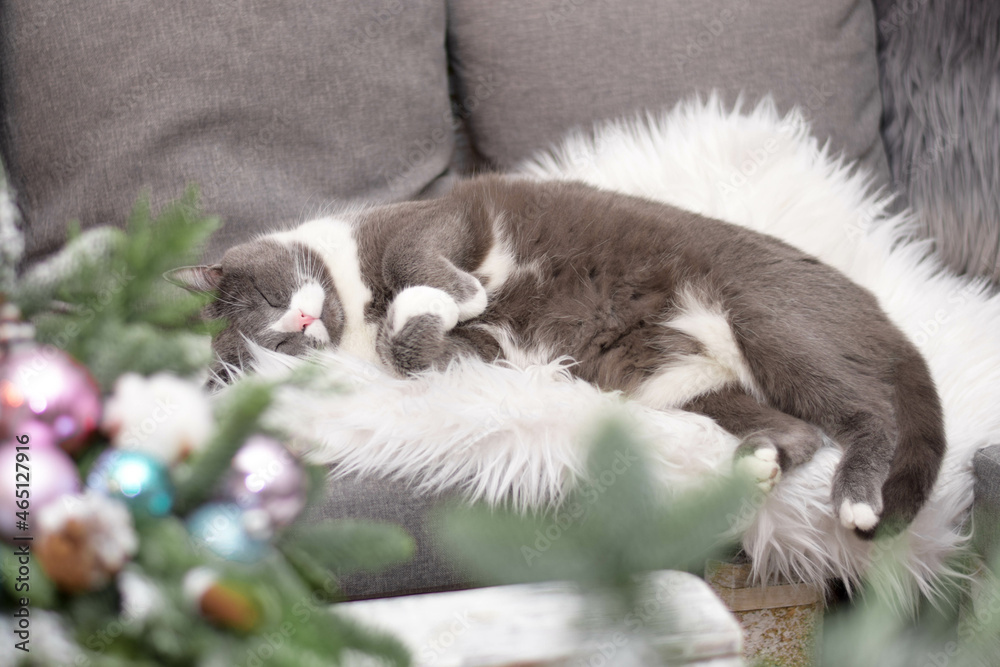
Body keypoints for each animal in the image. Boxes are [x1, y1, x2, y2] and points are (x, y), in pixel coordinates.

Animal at [170, 174, 944, 536]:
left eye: (267, 295)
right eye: (276, 340)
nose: (300, 317)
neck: (354, 311)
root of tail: (875, 308)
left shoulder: (433, 216)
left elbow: (413, 259)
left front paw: (454, 294)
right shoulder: (479, 353)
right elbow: (424, 351)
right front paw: (429, 319)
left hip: (763, 315)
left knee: (869, 411)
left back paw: (856, 501)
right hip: (677, 381)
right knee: (800, 429)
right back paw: (756, 466)